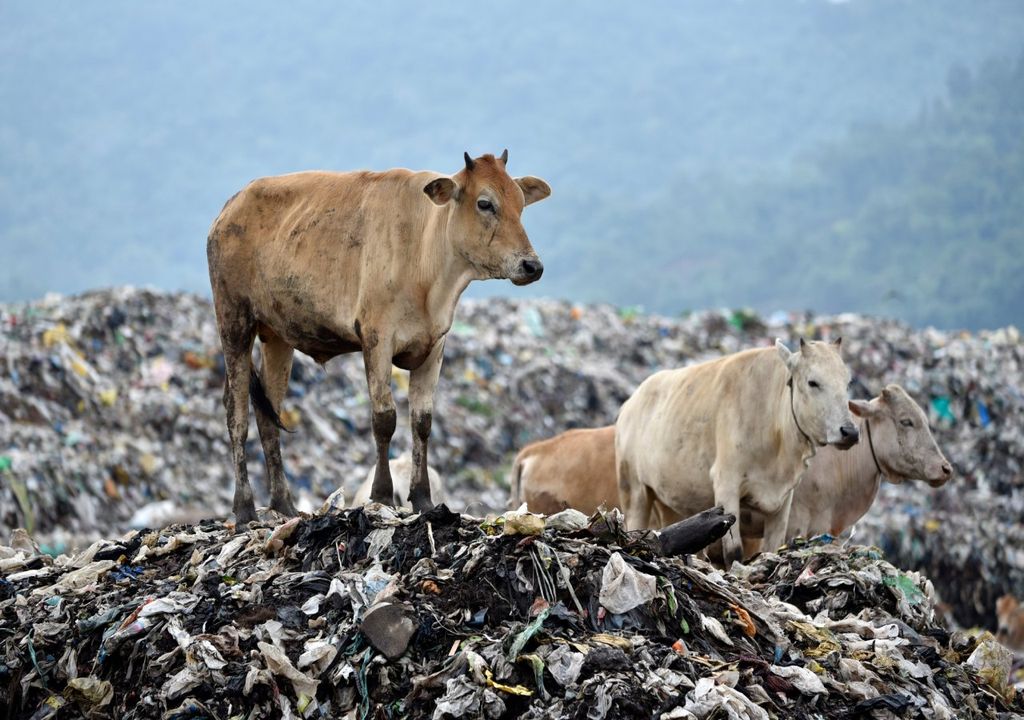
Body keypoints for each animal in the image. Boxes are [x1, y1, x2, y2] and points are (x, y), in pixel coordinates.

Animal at [206, 151, 552, 524]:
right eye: (485, 203)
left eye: (521, 203)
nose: (532, 266)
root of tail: (230, 206)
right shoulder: (376, 336)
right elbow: (384, 418)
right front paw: (383, 493)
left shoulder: (436, 344)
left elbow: (422, 422)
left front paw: (422, 497)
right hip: (234, 319)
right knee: (237, 413)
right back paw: (244, 508)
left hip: (277, 335)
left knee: (269, 415)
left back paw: (283, 503)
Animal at [610, 340, 860, 569]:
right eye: (813, 382)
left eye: (847, 382)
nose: (850, 432)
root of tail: (630, 403)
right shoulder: (726, 484)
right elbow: (734, 552)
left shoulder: (784, 498)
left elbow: (772, 547)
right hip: (634, 491)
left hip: (668, 501)